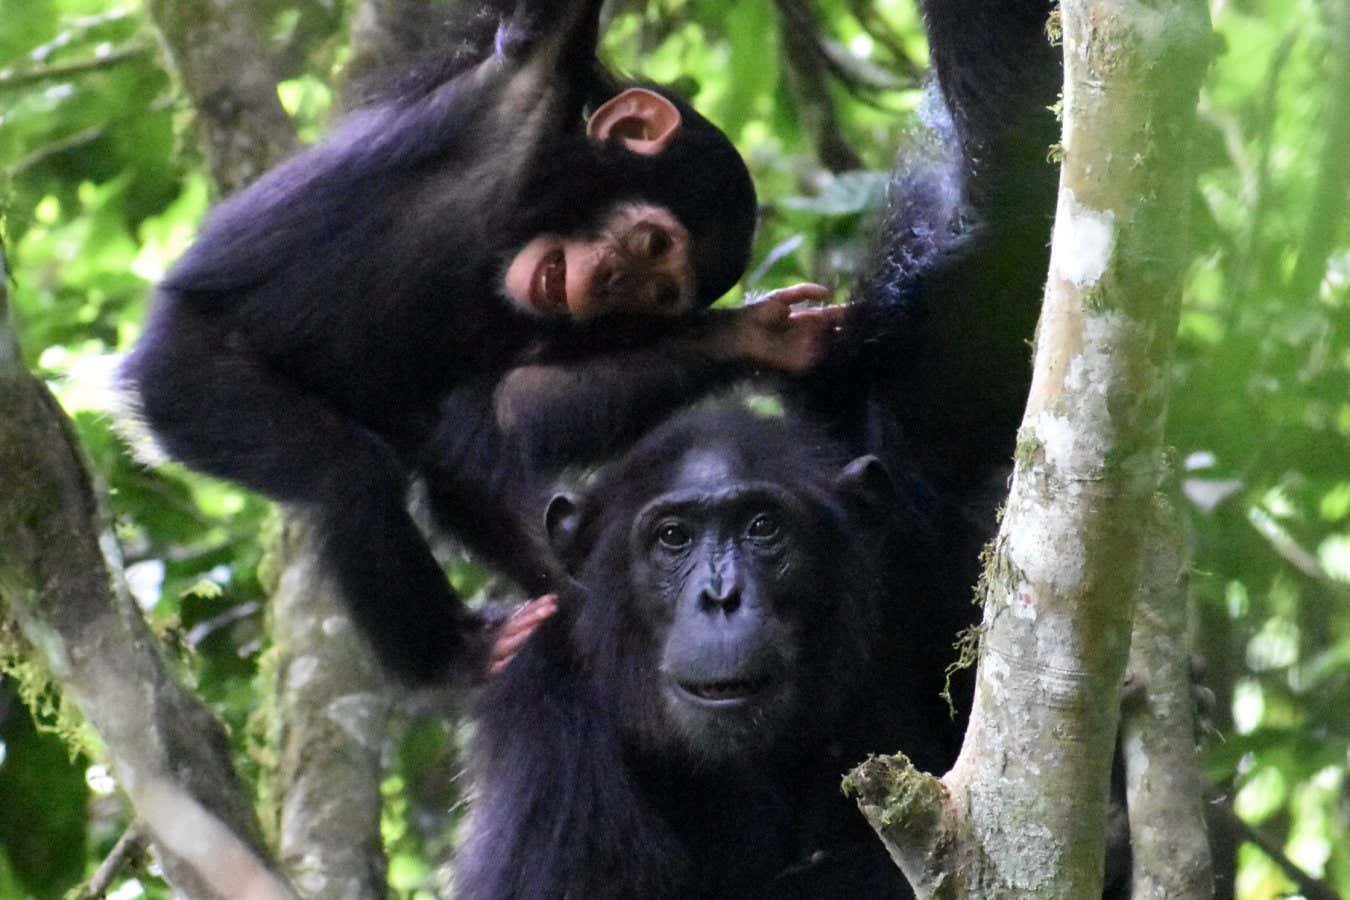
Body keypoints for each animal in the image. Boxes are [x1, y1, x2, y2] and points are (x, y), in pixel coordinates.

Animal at [121, 0, 837, 682]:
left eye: (657, 294)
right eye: (652, 244)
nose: (611, 283)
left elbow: (514, 402)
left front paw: (760, 336)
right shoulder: (530, 79)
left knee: (459, 463)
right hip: (184, 379)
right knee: (346, 474)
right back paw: (454, 655)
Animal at [459, 0, 1069, 895]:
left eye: (761, 528)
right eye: (672, 538)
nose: (721, 596)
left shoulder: (920, 480)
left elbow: (1018, 210)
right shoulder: (543, 716)